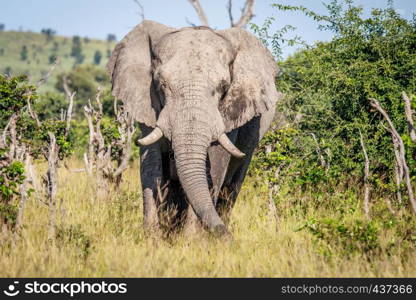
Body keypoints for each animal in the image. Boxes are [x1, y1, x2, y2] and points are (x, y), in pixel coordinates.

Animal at [108, 20, 282, 237]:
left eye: (223, 87)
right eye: (162, 84)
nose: (228, 237)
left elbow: (215, 163)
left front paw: (191, 239)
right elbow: (151, 164)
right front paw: (151, 237)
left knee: (233, 184)